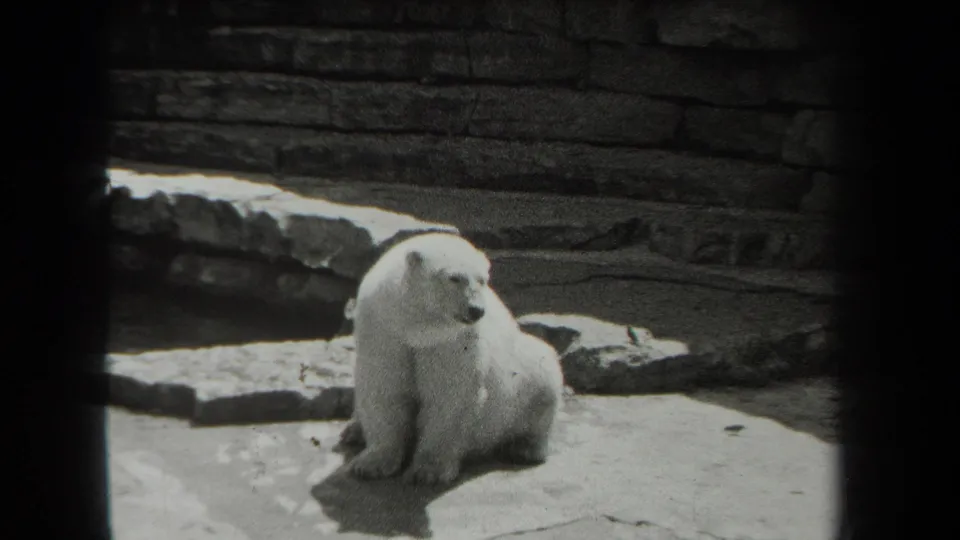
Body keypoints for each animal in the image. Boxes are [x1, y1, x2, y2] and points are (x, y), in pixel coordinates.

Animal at [342, 232, 565, 485]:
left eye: (482, 280)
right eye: (454, 278)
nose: (476, 310)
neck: (415, 328)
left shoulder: (452, 342)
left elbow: (449, 395)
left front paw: (429, 470)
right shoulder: (384, 331)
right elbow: (384, 388)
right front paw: (371, 463)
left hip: (522, 375)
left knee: (543, 377)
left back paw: (524, 448)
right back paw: (354, 431)